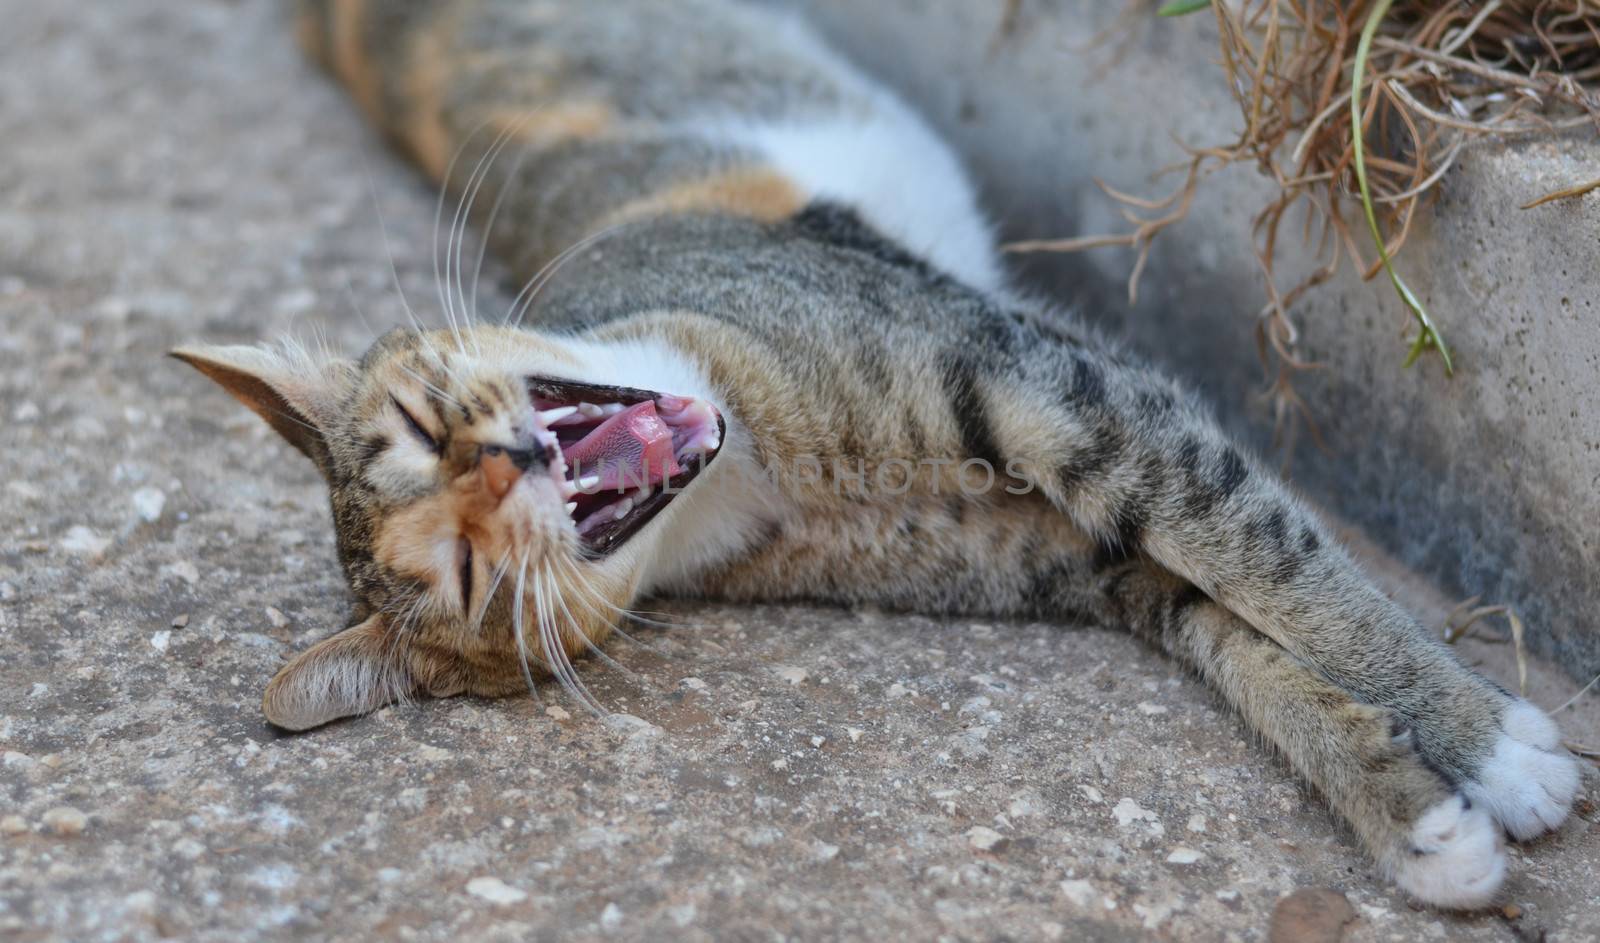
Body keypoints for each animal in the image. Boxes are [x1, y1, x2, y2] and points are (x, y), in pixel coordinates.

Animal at [172, 0, 1574, 909]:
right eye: (468, 578)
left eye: (419, 428)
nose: (499, 474)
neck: (756, 469)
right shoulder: (1072, 553)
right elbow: (1233, 631)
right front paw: (1428, 811)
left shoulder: (1071, 393)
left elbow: (1283, 568)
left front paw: (1489, 736)